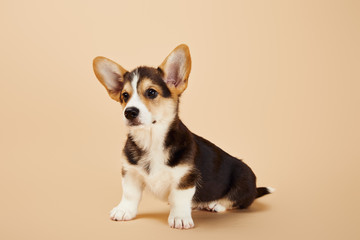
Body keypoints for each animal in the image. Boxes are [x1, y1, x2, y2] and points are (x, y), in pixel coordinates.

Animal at [93, 44, 272, 230]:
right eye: (125, 96)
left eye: (151, 92)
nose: (129, 112)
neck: (152, 140)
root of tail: (255, 188)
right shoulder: (130, 172)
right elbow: (129, 194)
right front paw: (124, 210)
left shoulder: (185, 177)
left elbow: (179, 198)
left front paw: (179, 217)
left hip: (243, 178)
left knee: (236, 201)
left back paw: (215, 204)